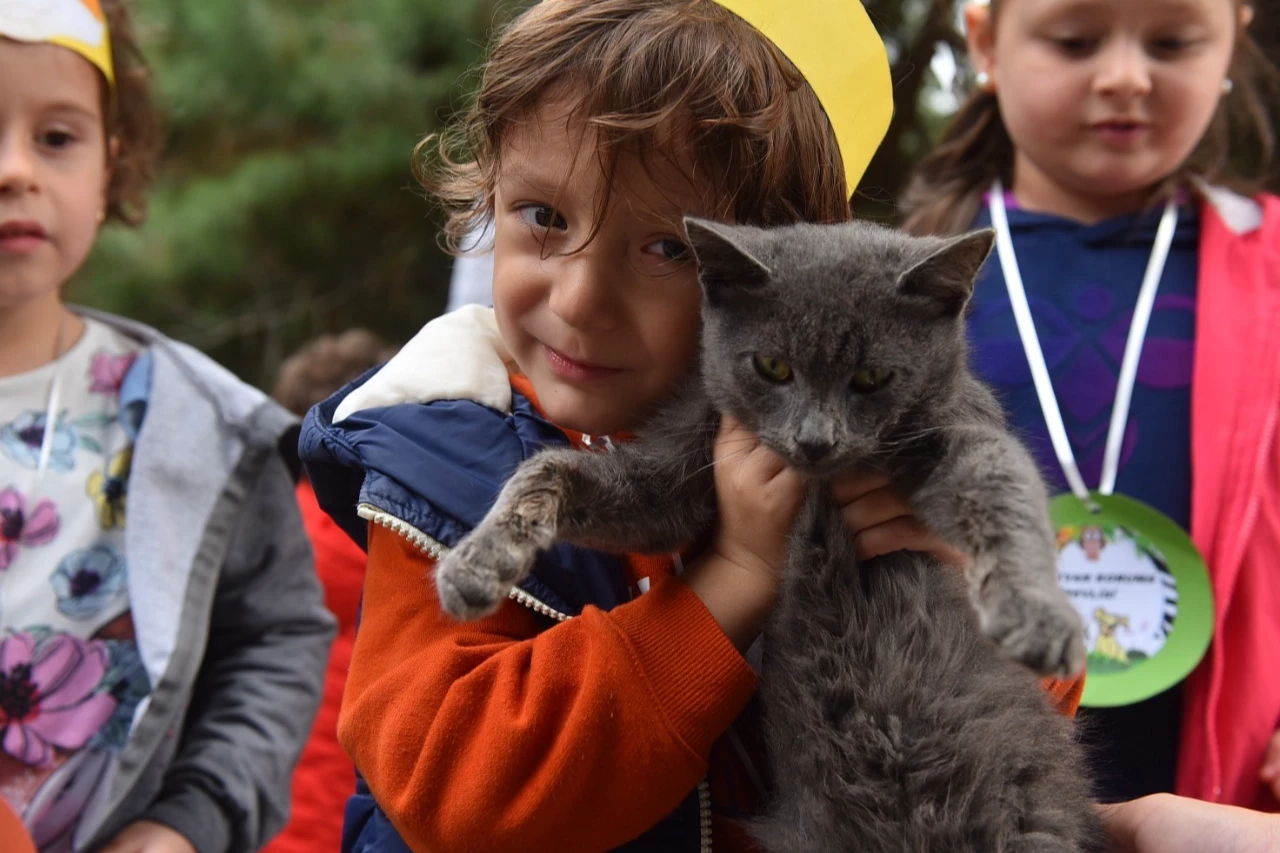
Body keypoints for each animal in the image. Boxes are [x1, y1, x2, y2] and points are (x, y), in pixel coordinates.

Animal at [432, 217, 1100, 845]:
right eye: (772, 366)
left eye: (871, 378)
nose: (815, 439)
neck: (819, 485)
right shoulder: (681, 467)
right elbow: (553, 469)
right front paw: (475, 563)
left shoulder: (959, 431)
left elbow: (1003, 491)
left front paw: (1035, 615)